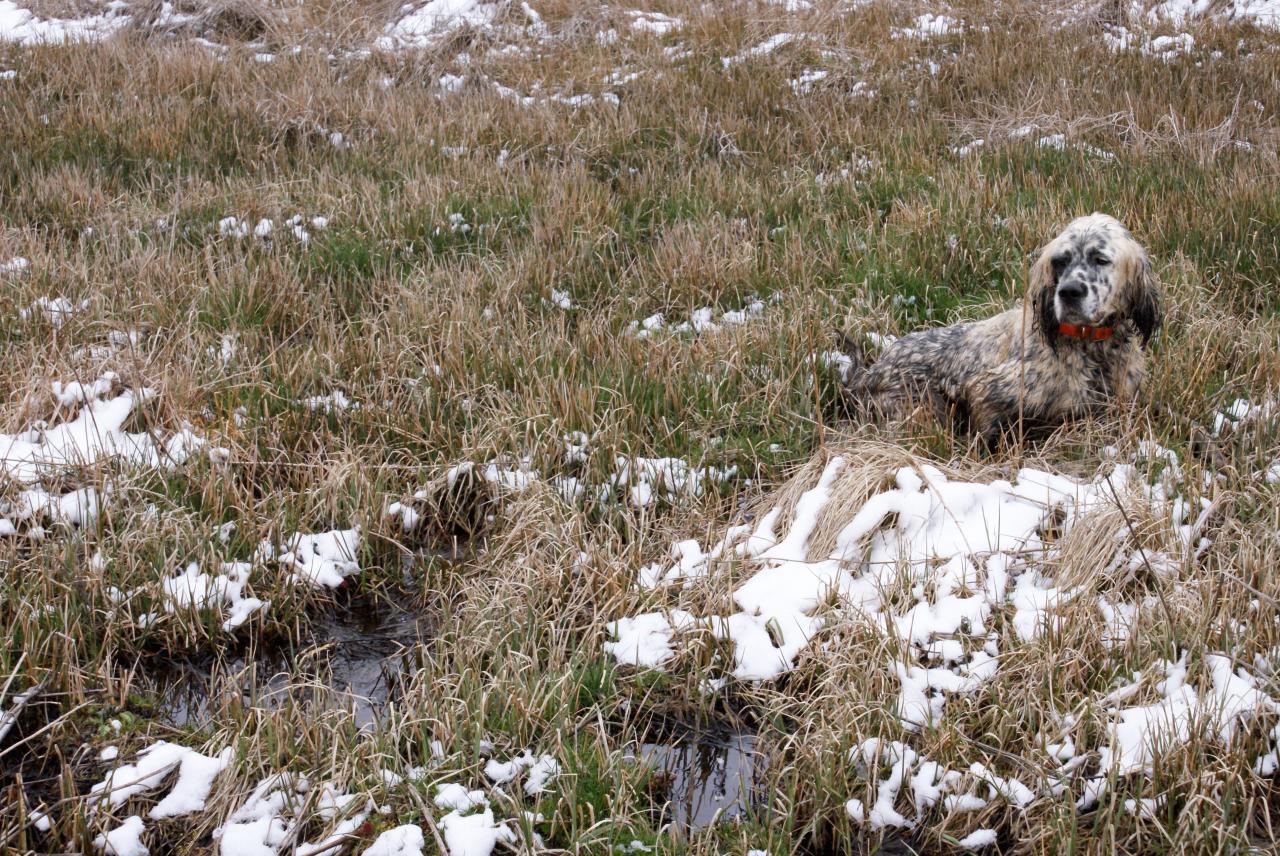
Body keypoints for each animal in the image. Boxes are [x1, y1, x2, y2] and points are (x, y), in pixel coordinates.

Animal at [839, 213, 1162, 445]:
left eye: (1101, 259)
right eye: (1060, 261)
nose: (1069, 292)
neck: (1090, 346)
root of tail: (872, 370)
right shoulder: (986, 390)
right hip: (924, 407)